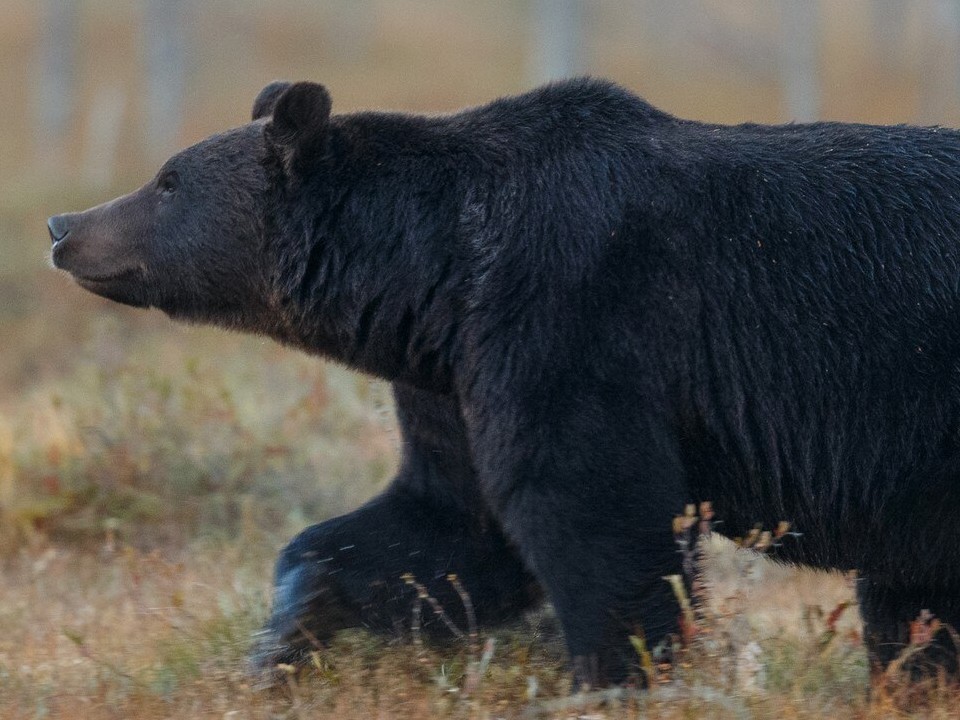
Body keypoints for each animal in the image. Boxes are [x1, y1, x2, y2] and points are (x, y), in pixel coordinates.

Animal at [50, 76, 960, 688]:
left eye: (169, 180)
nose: (64, 225)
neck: (438, 267)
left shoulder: (571, 315)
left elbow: (593, 513)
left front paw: (621, 673)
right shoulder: (453, 372)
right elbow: (449, 525)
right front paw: (283, 639)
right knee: (915, 598)